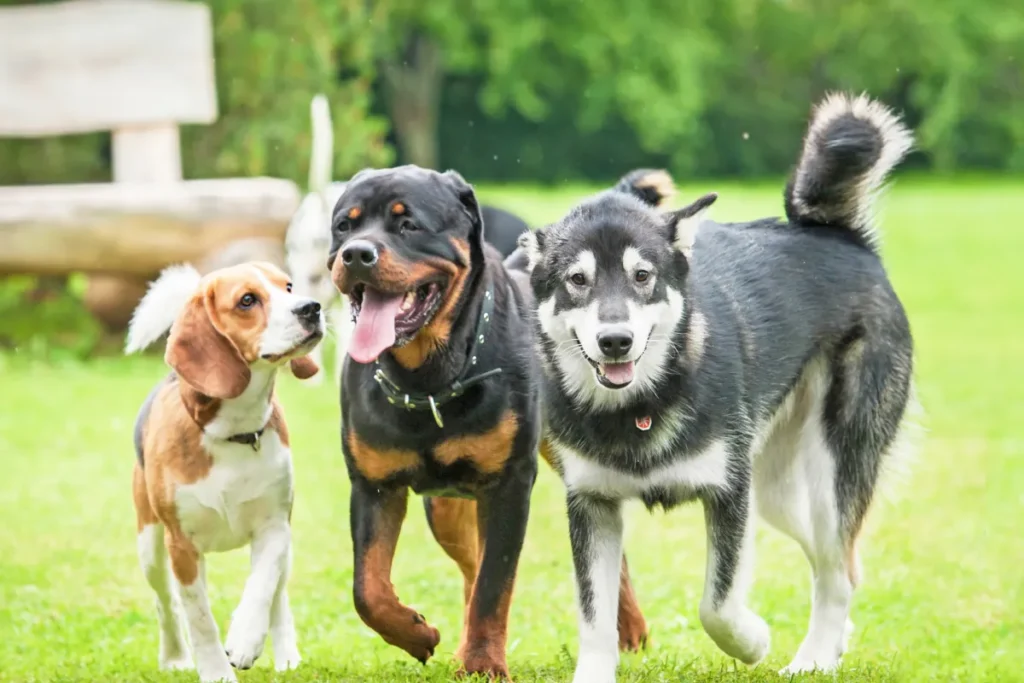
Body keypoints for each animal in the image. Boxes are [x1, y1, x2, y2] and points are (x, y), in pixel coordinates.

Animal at [520, 93, 921, 679]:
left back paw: (814, 658)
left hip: (827, 472)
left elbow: (717, 604)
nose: (615, 341)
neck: (641, 405)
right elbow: (595, 618)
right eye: (577, 280)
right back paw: (835, 640)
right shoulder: (592, 503)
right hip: (775, 491)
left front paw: (752, 642)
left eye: (643, 276)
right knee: (845, 560)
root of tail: (841, 236)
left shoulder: (728, 493)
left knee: (837, 568)